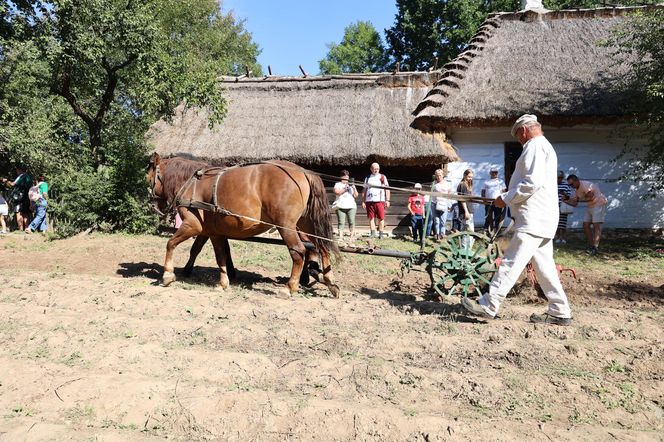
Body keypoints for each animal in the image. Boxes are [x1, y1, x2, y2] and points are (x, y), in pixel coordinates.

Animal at [147, 153, 340, 296]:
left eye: (148, 179)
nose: (153, 206)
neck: (192, 183)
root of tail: (303, 171)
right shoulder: (213, 232)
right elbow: (219, 255)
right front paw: (223, 282)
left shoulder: (193, 225)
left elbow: (171, 243)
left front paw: (167, 275)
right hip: (305, 224)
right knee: (322, 247)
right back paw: (330, 281)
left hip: (286, 226)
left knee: (299, 251)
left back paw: (290, 287)